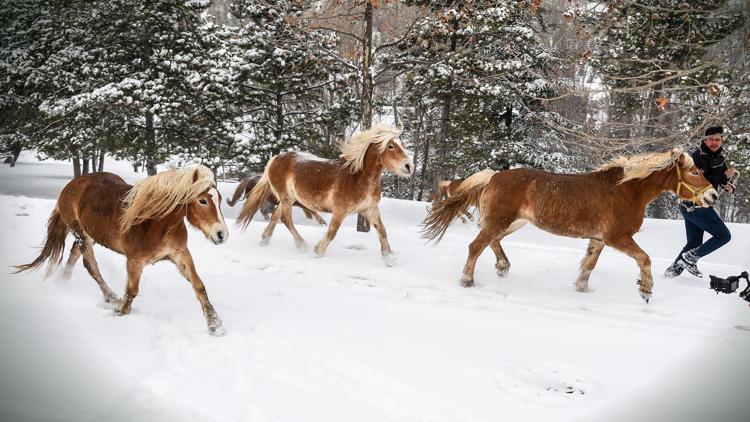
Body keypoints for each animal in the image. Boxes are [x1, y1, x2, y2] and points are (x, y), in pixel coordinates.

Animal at [16, 166, 228, 334]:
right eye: (202, 200)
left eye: (220, 200)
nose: (221, 234)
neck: (156, 223)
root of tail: (72, 184)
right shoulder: (135, 261)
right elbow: (131, 291)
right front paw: (120, 313)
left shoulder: (180, 254)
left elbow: (198, 285)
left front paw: (214, 324)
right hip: (80, 234)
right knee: (91, 265)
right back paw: (111, 298)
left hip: (88, 234)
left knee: (75, 256)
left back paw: (64, 281)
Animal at [238, 123, 414, 266]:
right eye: (390, 146)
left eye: (402, 144)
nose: (409, 166)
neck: (358, 178)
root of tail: (275, 158)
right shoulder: (340, 211)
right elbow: (332, 232)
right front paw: (318, 251)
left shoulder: (370, 209)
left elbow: (382, 231)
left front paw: (389, 259)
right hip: (286, 198)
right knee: (285, 219)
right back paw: (301, 245)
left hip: (287, 199)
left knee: (275, 216)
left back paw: (265, 240)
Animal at [426, 148, 720, 300]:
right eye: (695, 171)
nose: (713, 196)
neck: (625, 190)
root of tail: (494, 176)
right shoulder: (617, 237)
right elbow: (644, 258)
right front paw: (645, 290)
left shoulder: (599, 239)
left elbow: (589, 265)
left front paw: (582, 288)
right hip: (501, 220)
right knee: (475, 246)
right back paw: (467, 281)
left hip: (512, 223)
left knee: (491, 242)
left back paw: (502, 267)